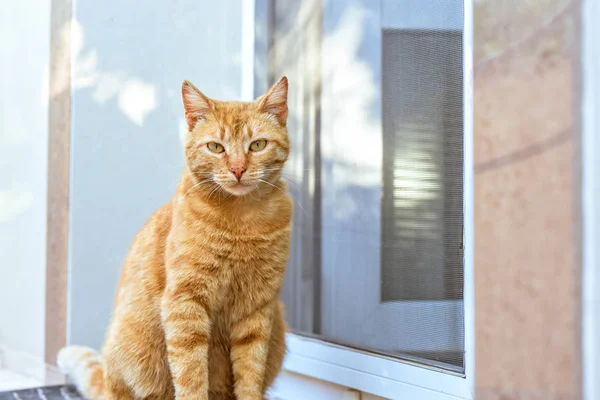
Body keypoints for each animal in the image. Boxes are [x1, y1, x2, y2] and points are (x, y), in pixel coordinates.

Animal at [57, 76, 292, 398]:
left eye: (257, 145)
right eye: (216, 147)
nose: (238, 169)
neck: (241, 221)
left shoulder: (257, 308)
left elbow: (250, 373)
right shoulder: (185, 301)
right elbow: (191, 372)